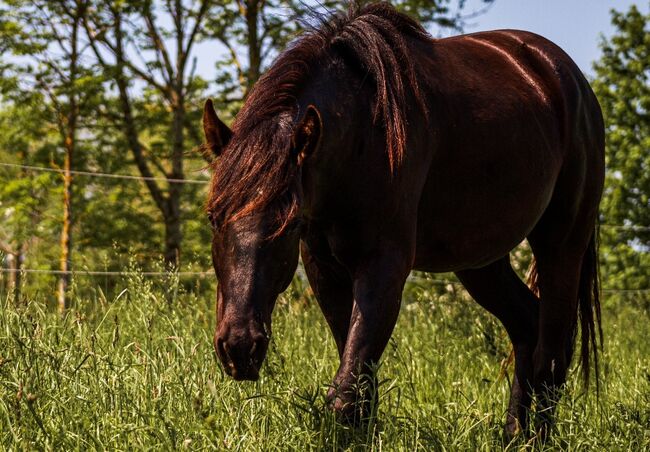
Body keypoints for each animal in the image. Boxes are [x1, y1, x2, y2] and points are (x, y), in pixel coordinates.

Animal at [201, 1, 604, 440]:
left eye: (287, 224)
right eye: (213, 217)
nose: (240, 347)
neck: (362, 136)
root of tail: (562, 74)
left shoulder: (385, 265)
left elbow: (348, 387)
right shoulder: (325, 269)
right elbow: (358, 378)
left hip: (562, 243)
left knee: (552, 350)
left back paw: (538, 439)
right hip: (480, 261)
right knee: (527, 329)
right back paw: (514, 435)